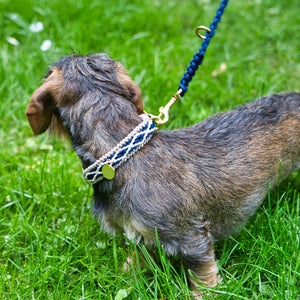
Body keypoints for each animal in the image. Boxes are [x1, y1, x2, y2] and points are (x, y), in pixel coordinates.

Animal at [26, 53, 300, 296]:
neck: (123, 154)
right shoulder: (141, 234)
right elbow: (137, 259)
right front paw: (122, 277)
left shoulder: (192, 238)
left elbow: (203, 274)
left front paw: (205, 293)